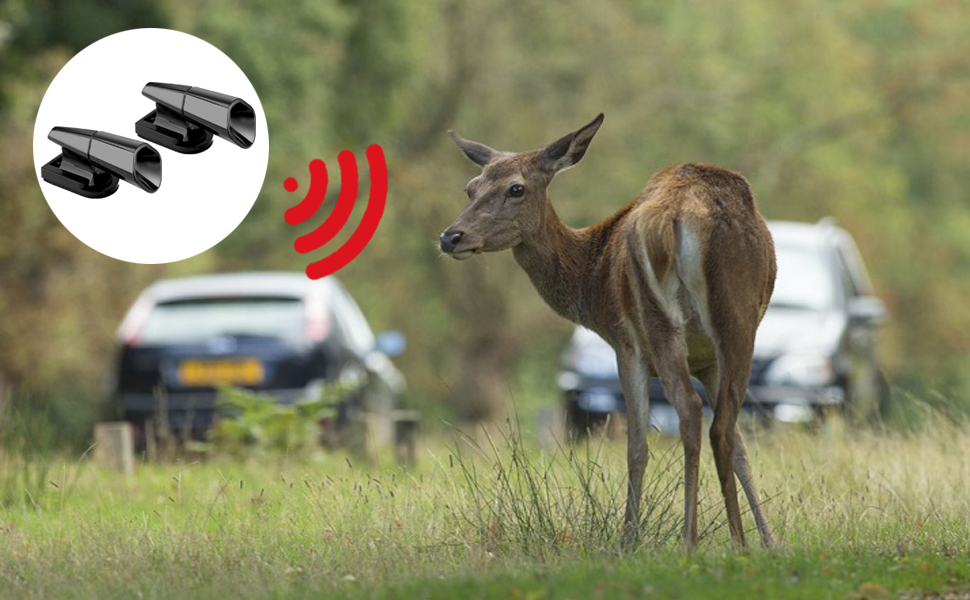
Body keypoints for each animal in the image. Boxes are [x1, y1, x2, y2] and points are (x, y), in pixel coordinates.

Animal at [439, 113, 778, 550]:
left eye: (516, 188)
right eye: (471, 187)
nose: (450, 236)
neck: (592, 276)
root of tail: (679, 216)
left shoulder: (625, 343)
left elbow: (636, 446)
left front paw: (627, 539)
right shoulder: (707, 360)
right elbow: (740, 446)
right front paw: (771, 540)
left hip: (659, 320)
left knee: (688, 410)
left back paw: (691, 539)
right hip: (738, 321)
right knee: (721, 426)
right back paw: (738, 540)